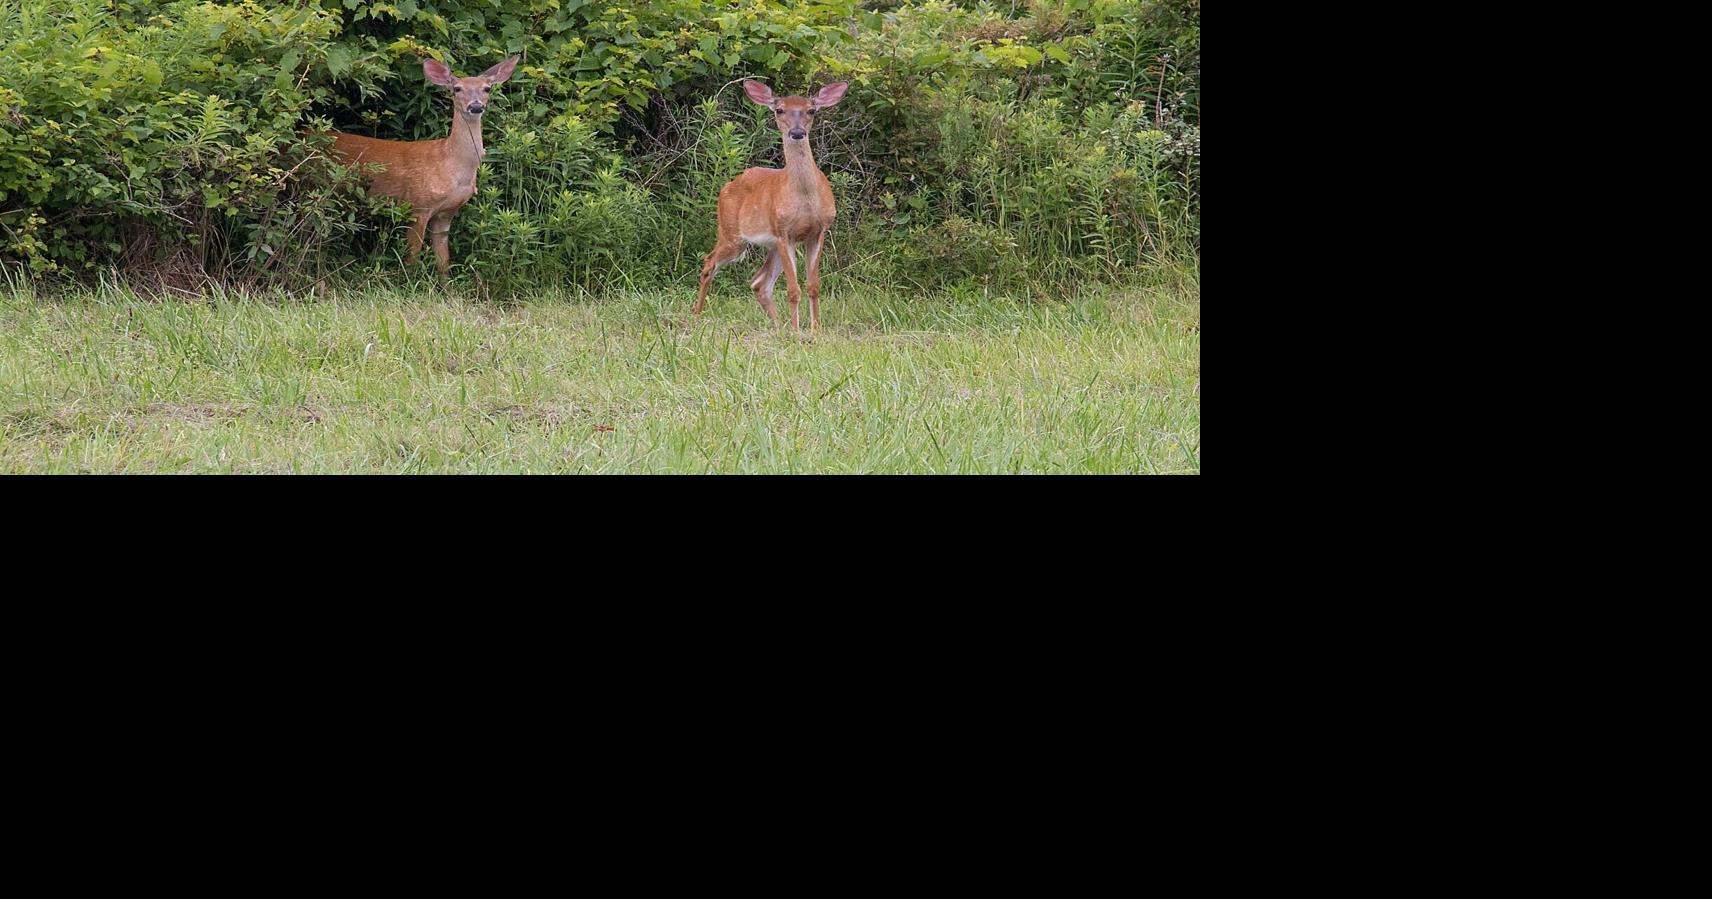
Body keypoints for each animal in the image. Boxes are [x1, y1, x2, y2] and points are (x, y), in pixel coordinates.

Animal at [324, 55, 520, 289]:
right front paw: (409, 286)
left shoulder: (446, 213)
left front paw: (447, 290)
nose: (475, 106)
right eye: (457, 89)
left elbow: (444, 260)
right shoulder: (418, 205)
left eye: (487, 88)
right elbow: (412, 256)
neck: (452, 165)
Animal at [692, 80, 850, 331]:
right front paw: (797, 331)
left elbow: (813, 286)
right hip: (732, 234)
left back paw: (778, 325)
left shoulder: (818, 231)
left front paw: (815, 329)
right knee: (709, 264)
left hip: (772, 245)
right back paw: (696, 315)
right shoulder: (784, 231)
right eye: (780, 110)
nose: (797, 132)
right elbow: (793, 290)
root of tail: (727, 186)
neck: (805, 197)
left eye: (811, 110)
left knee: (759, 282)